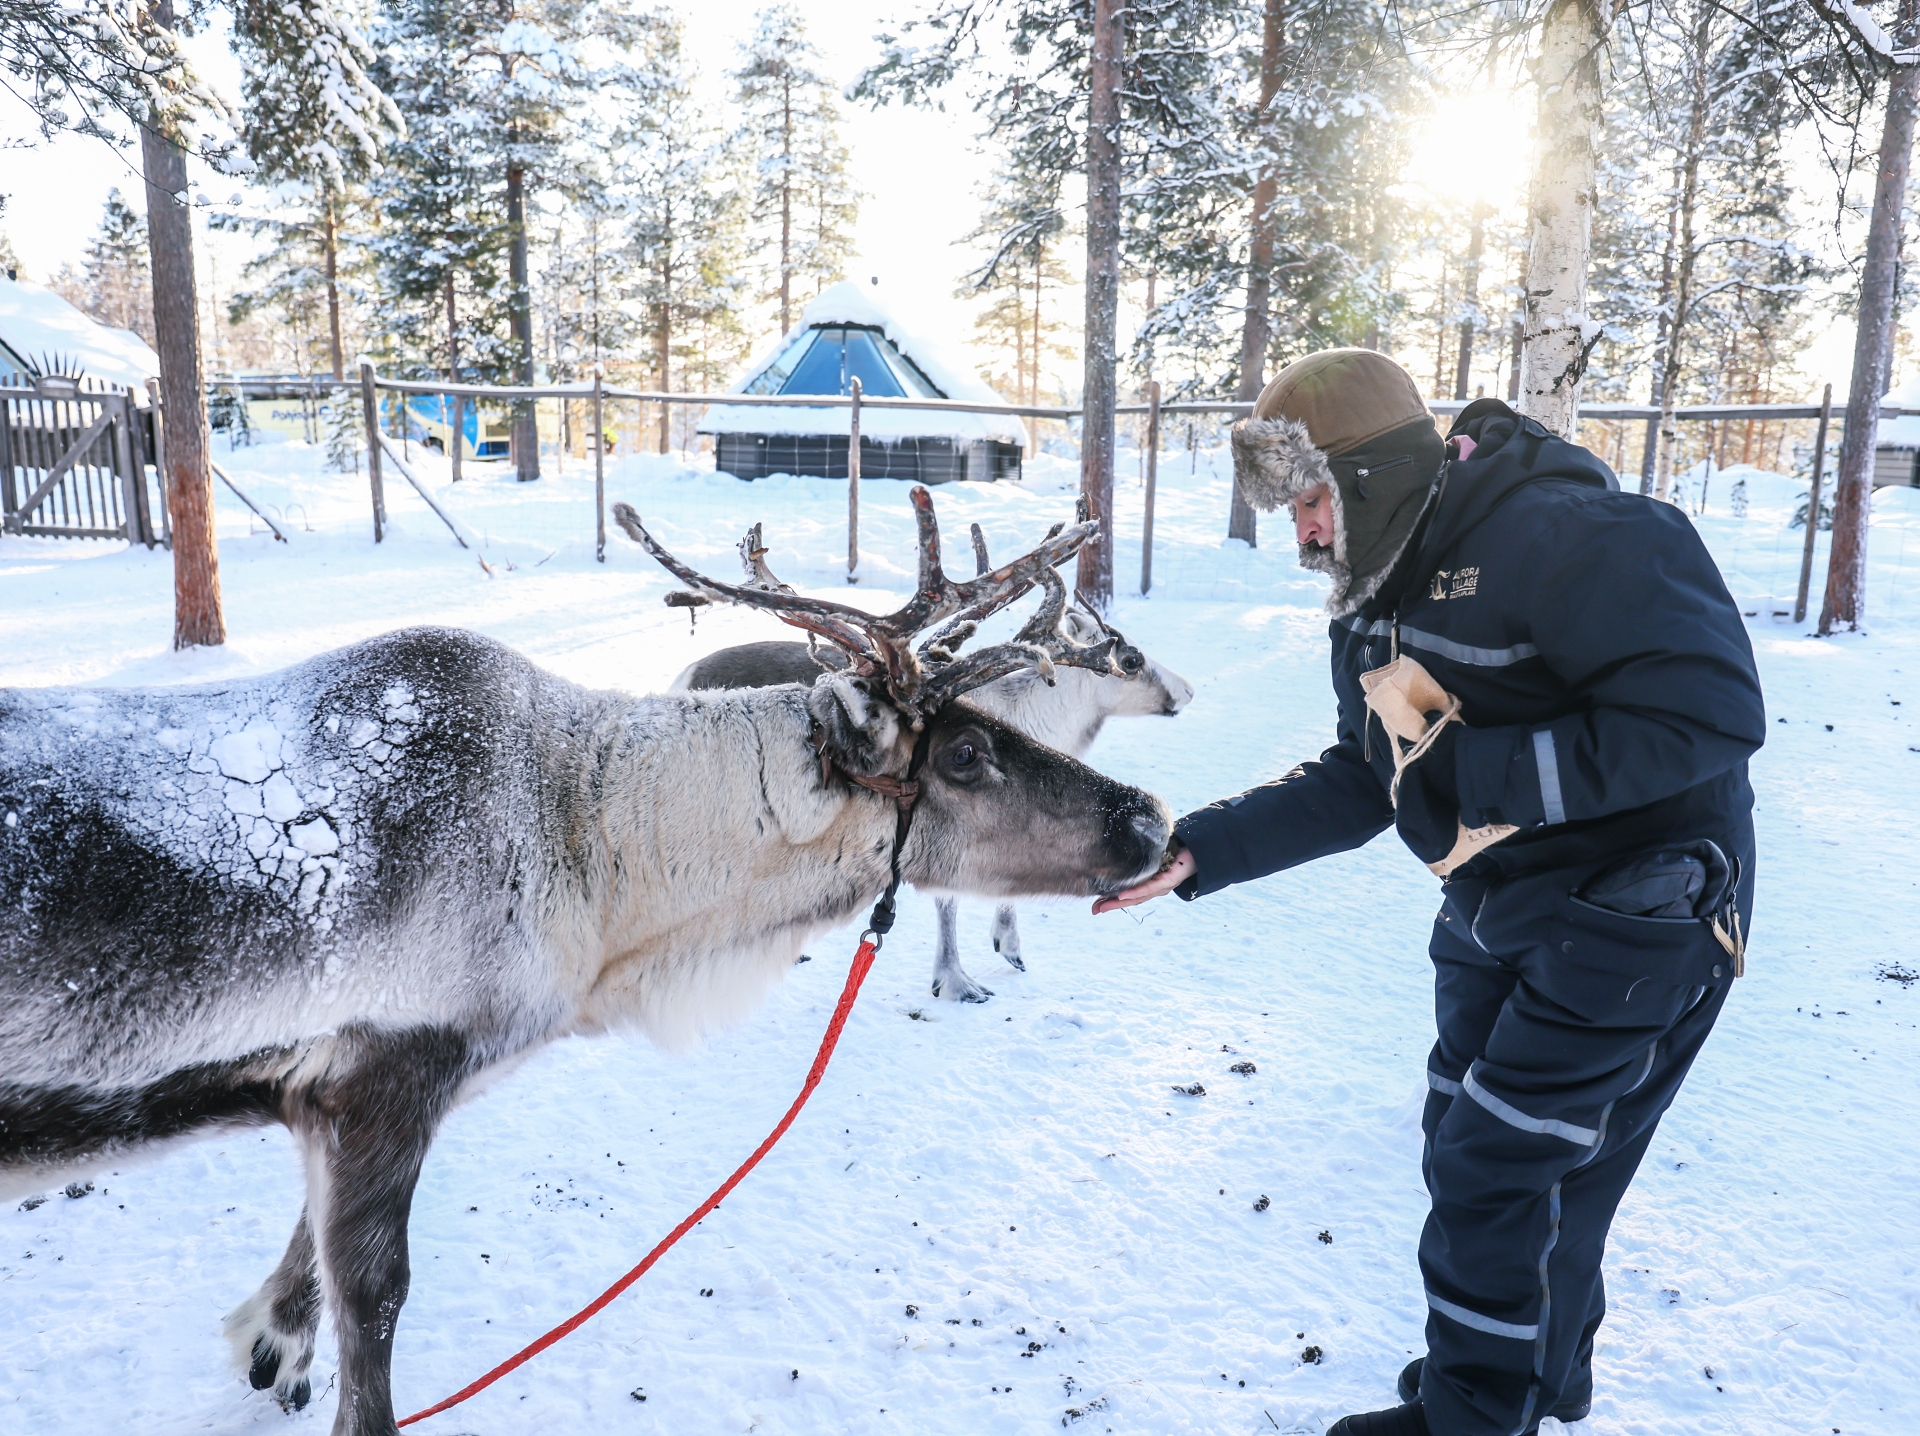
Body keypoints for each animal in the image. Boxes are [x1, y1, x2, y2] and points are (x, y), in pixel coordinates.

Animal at [675, 521, 1193, 1002]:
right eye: (1131, 660)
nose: (1188, 690)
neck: (1047, 720)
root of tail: (686, 673)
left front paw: (1007, 946)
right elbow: (952, 901)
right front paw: (955, 978)